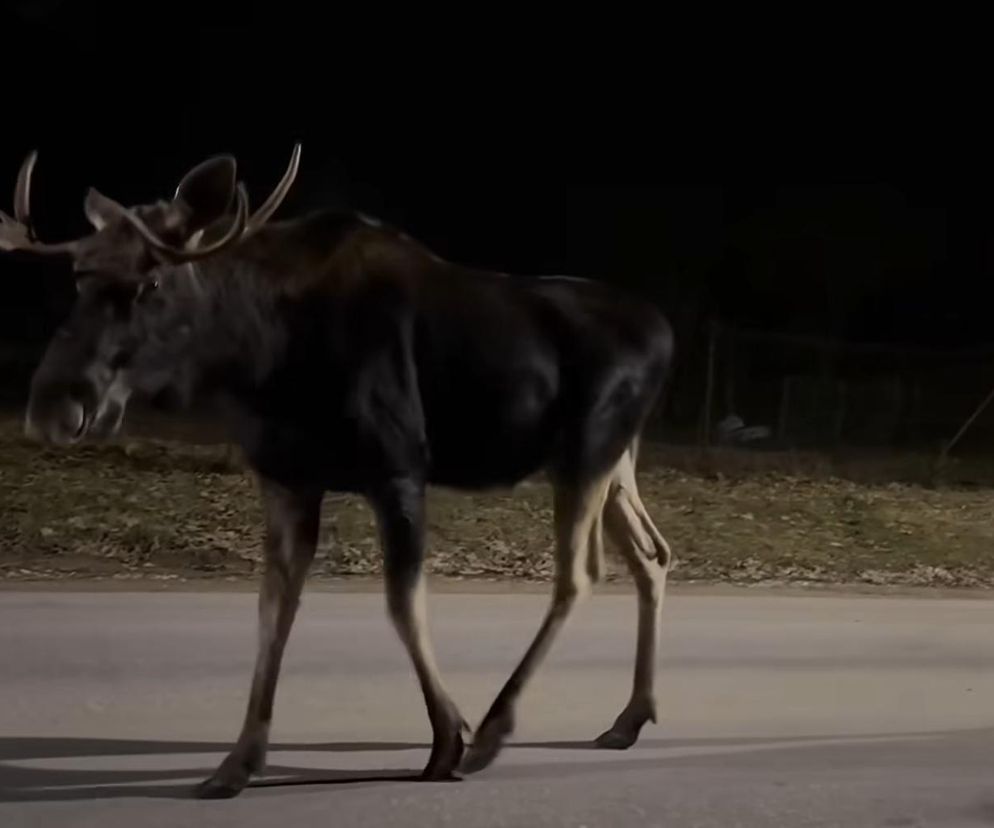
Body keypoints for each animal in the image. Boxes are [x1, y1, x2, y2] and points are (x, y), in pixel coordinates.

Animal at [0, 146, 672, 800]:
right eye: (79, 276)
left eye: (153, 280)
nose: (55, 404)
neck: (259, 358)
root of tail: (666, 332)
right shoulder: (286, 478)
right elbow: (274, 610)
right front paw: (238, 762)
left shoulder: (399, 466)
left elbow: (402, 602)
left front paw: (447, 738)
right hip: (613, 465)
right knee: (651, 554)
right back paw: (630, 716)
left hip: (587, 450)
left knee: (580, 574)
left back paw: (494, 730)